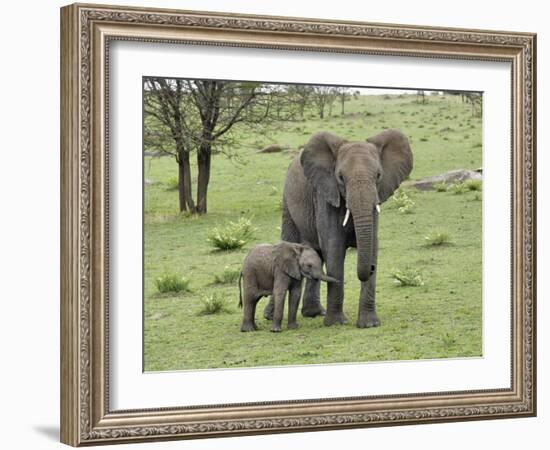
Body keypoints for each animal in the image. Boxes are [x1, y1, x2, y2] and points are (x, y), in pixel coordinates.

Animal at [266, 128, 412, 328]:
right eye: (341, 178)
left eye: (378, 176)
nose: (371, 268)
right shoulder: (325, 194)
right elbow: (334, 248)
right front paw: (336, 323)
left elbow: (372, 245)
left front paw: (369, 324)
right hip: (288, 204)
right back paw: (270, 316)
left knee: (316, 254)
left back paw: (313, 313)